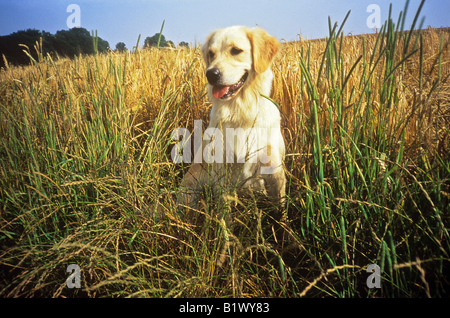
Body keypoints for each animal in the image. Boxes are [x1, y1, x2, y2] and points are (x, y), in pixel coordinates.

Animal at [177, 26, 284, 210]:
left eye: (236, 50)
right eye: (211, 54)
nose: (211, 74)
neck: (240, 110)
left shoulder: (275, 171)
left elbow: (284, 209)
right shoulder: (222, 173)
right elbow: (225, 213)